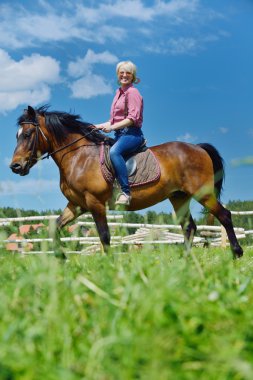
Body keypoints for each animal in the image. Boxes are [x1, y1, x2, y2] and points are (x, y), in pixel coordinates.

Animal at [9, 106, 243, 258]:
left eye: (28, 134)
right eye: (17, 135)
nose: (15, 166)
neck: (78, 156)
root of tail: (198, 147)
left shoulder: (94, 203)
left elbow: (104, 236)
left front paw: (109, 264)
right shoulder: (76, 205)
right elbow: (54, 228)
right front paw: (61, 258)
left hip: (202, 193)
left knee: (224, 215)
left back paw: (237, 253)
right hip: (179, 197)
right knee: (189, 228)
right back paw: (186, 260)